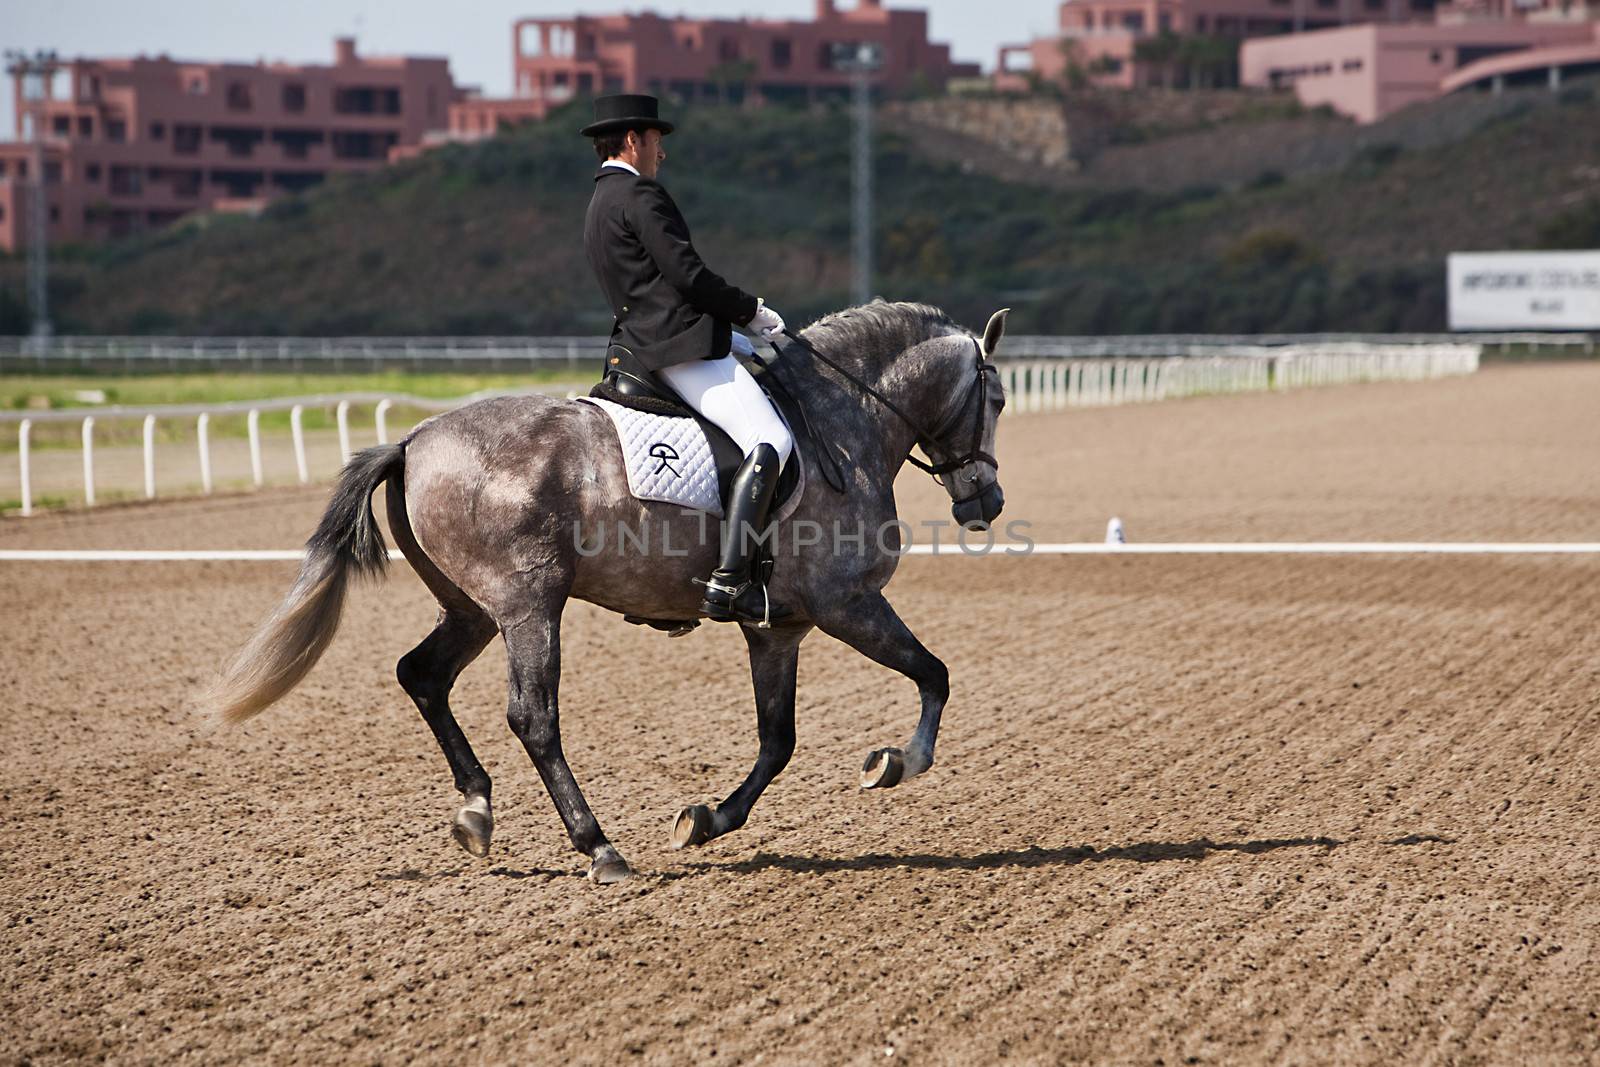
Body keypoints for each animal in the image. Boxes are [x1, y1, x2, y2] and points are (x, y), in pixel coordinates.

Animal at [196, 300, 998, 883]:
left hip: (472, 609)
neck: (843, 422)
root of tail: (414, 441)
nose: (983, 502)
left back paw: (476, 810)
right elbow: (935, 674)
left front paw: (707, 820)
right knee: (533, 717)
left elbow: (778, 741)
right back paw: (599, 847)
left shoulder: (779, 628)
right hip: (529, 604)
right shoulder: (848, 605)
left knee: (421, 674)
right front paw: (896, 763)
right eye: (994, 398)